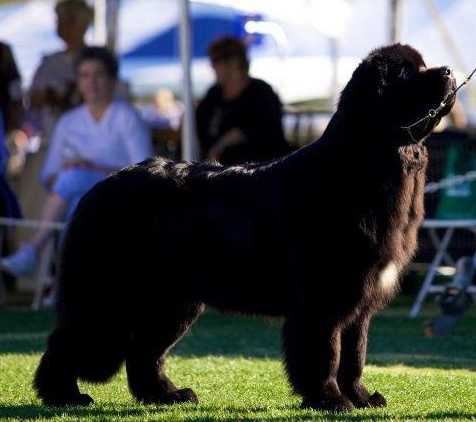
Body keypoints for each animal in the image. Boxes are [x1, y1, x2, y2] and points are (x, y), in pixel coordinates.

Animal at [35, 44, 456, 410]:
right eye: (406, 73)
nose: (449, 71)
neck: (367, 162)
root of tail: (98, 187)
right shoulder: (323, 298)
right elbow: (325, 353)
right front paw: (330, 400)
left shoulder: (360, 300)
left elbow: (355, 356)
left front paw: (361, 398)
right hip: (110, 296)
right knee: (68, 341)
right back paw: (64, 395)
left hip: (172, 301)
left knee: (144, 353)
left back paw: (166, 395)